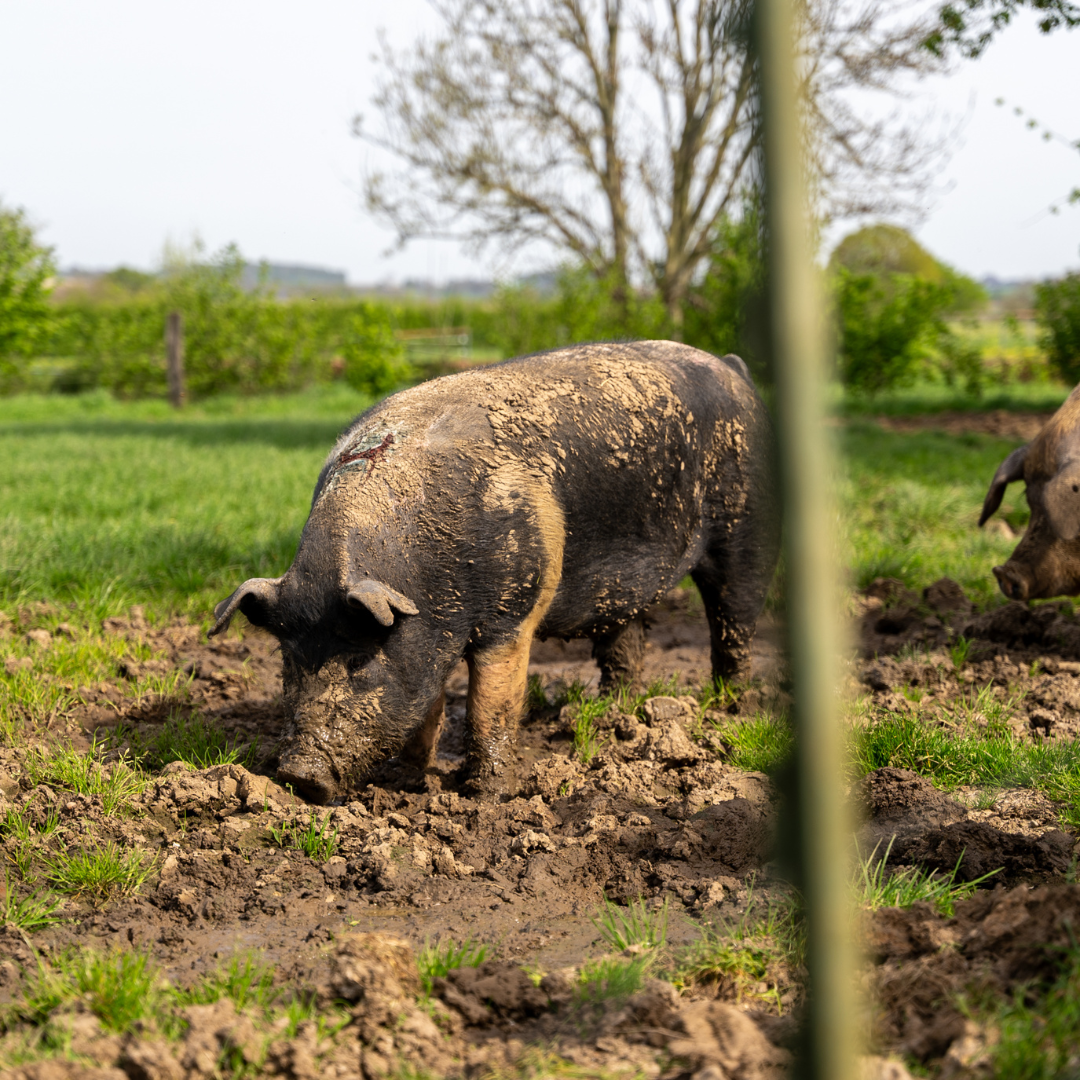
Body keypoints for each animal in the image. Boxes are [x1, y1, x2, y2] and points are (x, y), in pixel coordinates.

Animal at [208, 339, 777, 803]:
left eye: (360, 661)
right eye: (289, 661)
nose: (299, 775)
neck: (427, 578)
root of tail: (732, 367)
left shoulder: (512, 613)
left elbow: (491, 705)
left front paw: (485, 797)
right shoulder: (426, 636)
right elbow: (427, 708)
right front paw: (404, 784)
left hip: (746, 527)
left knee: (734, 619)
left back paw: (727, 706)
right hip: (627, 585)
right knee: (626, 641)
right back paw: (614, 712)